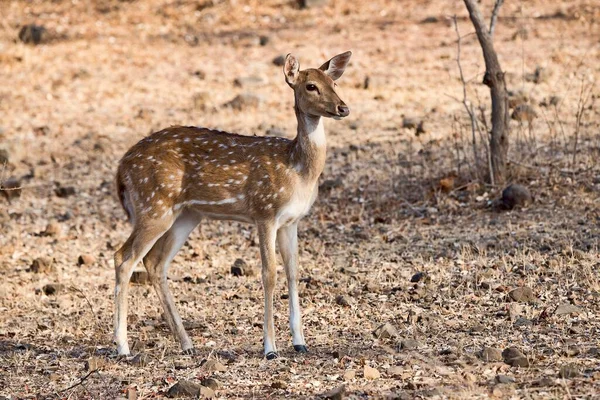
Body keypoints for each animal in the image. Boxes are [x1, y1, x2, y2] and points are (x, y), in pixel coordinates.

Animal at [112, 50, 352, 360]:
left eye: (334, 83)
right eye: (311, 86)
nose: (343, 107)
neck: (298, 170)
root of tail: (122, 167)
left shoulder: (291, 221)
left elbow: (293, 271)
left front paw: (300, 342)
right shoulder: (265, 211)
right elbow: (269, 274)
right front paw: (270, 348)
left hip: (186, 214)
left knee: (155, 262)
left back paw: (187, 343)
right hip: (153, 205)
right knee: (124, 257)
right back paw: (122, 346)